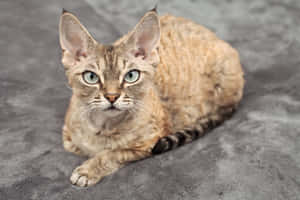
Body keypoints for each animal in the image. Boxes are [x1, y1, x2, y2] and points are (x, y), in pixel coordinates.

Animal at [58, 7, 244, 187]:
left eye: (131, 76)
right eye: (91, 77)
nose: (112, 96)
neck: (104, 127)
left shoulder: (148, 143)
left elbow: (112, 154)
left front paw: (88, 170)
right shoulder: (68, 137)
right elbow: (80, 148)